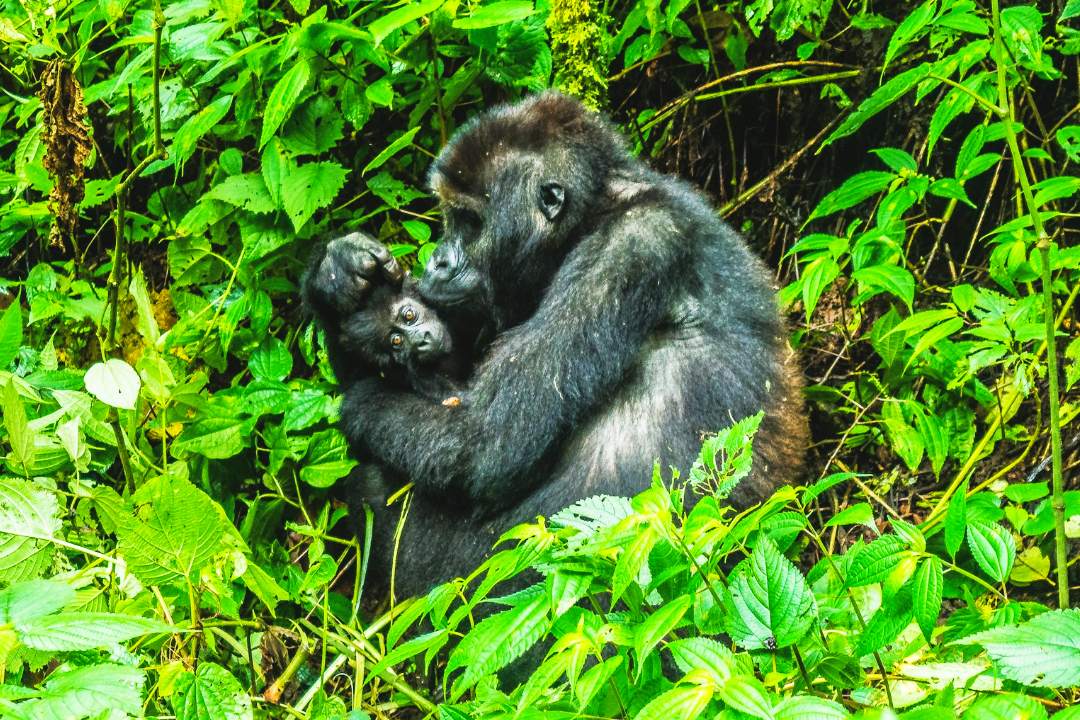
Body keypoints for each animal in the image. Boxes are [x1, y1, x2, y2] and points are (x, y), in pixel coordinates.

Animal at [302, 91, 803, 595]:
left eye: (469, 222)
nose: (436, 262)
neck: (595, 212)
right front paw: (339, 276)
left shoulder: (631, 246)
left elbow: (483, 445)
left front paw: (358, 401)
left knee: (376, 488)